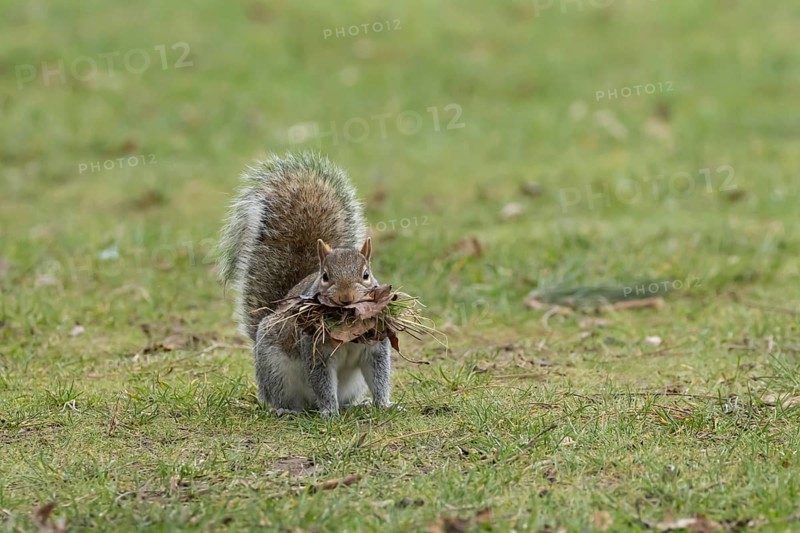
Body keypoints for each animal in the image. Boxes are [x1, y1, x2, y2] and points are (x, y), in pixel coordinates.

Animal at [217, 152, 392, 417]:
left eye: (366, 275)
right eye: (325, 276)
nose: (346, 298)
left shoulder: (375, 348)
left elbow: (379, 376)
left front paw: (384, 405)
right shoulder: (314, 349)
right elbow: (321, 380)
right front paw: (329, 411)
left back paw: (353, 405)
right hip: (276, 370)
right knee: (281, 397)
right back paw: (287, 411)